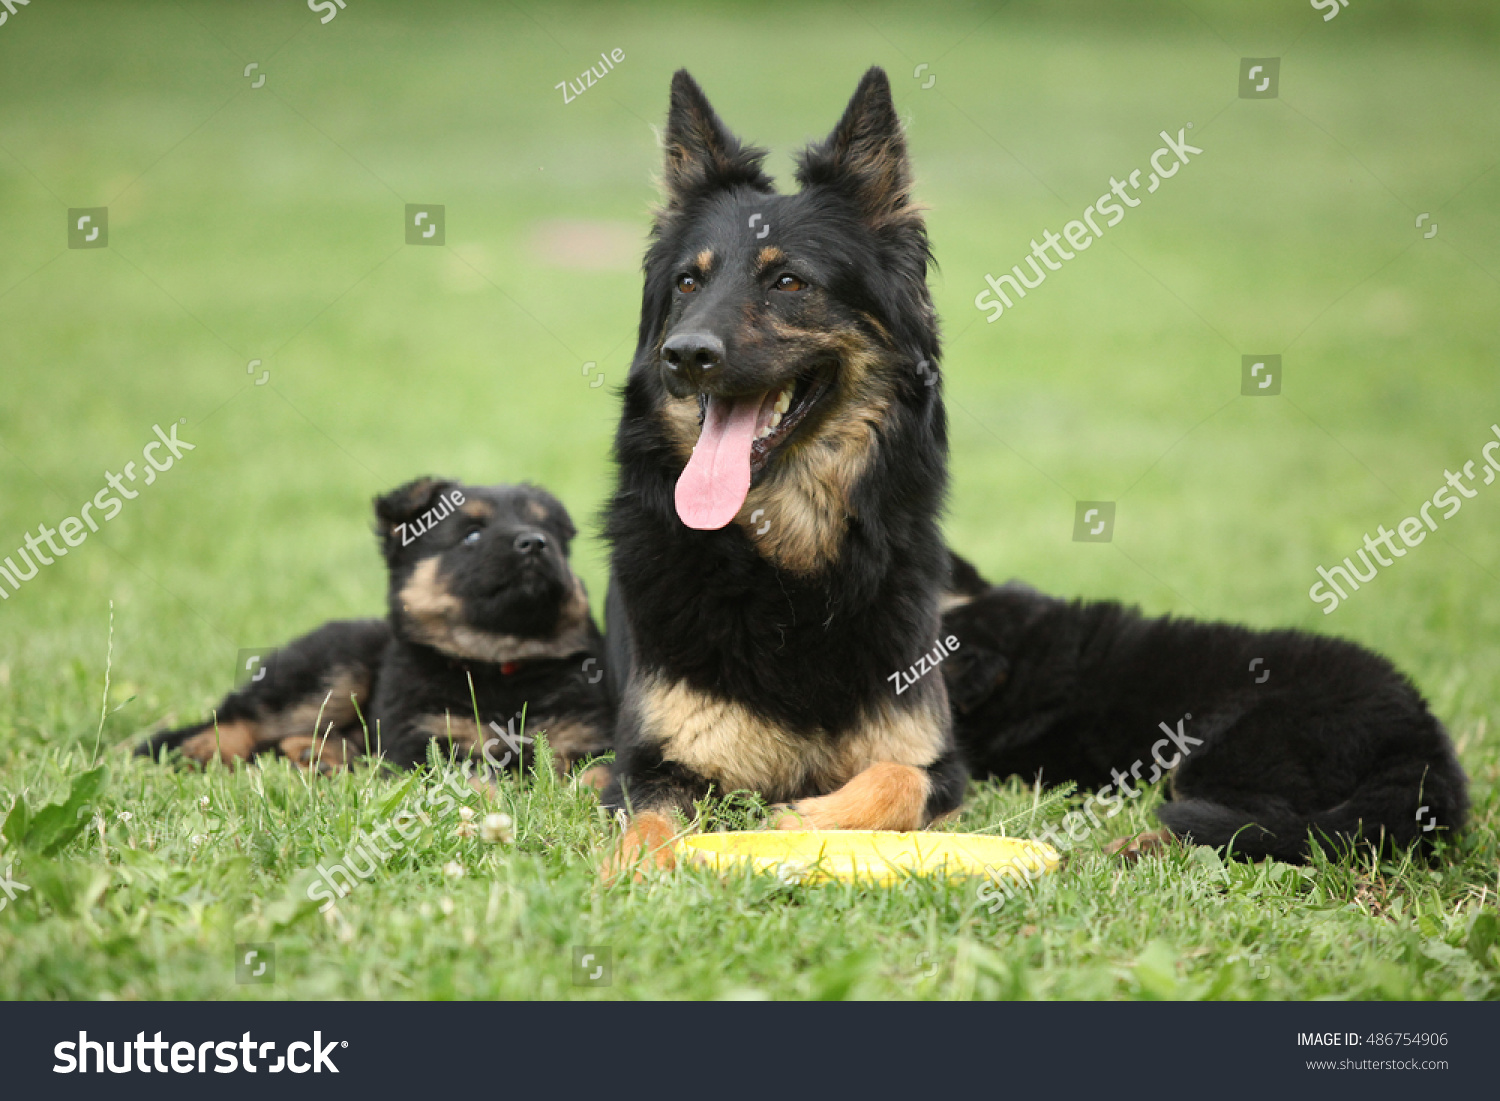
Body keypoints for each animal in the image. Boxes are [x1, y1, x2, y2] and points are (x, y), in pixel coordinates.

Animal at [141, 480, 609, 774]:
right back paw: (205, 748)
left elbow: (598, 775)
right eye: (472, 536)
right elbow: (470, 776)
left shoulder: (586, 738)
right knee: (242, 715)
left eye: (549, 532)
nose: (535, 543)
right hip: (336, 669)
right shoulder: (422, 739)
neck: (499, 665)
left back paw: (318, 755)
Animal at [597, 69, 960, 882]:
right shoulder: (652, 763)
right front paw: (630, 871)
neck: (784, 573)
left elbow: (896, 776)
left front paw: (806, 818)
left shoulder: (942, 762)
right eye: (688, 283)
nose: (685, 353)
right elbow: (649, 821)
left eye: (789, 281)